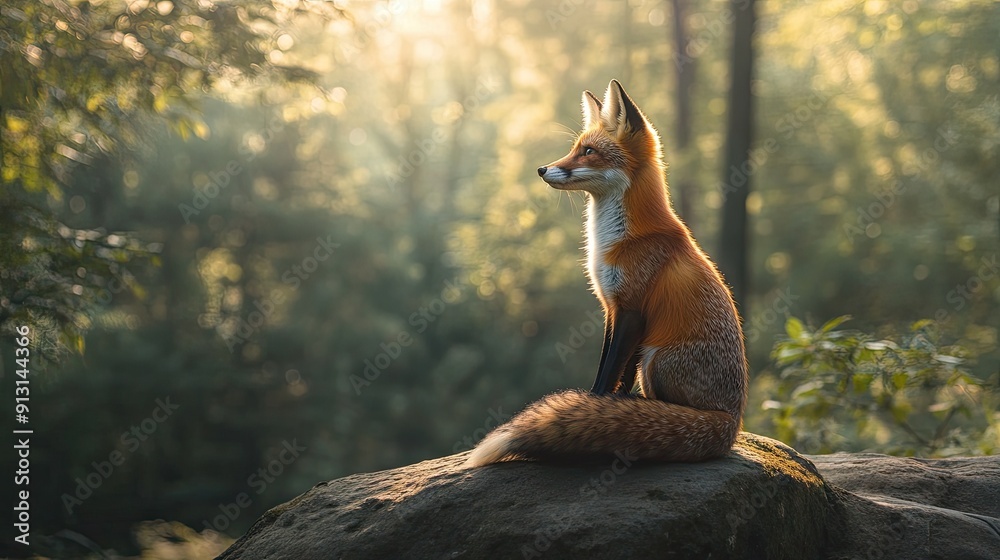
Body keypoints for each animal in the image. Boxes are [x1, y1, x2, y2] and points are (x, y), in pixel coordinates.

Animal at [465, 80, 748, 467]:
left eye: (588, 152)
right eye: (574, 148)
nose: (542, 169)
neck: (615, 241)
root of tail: (732, 422)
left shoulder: (632, 309)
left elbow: (609, 371)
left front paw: (595, 409)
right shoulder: (611, 307)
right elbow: (612, 371)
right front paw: (604, 408)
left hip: (656, 359)